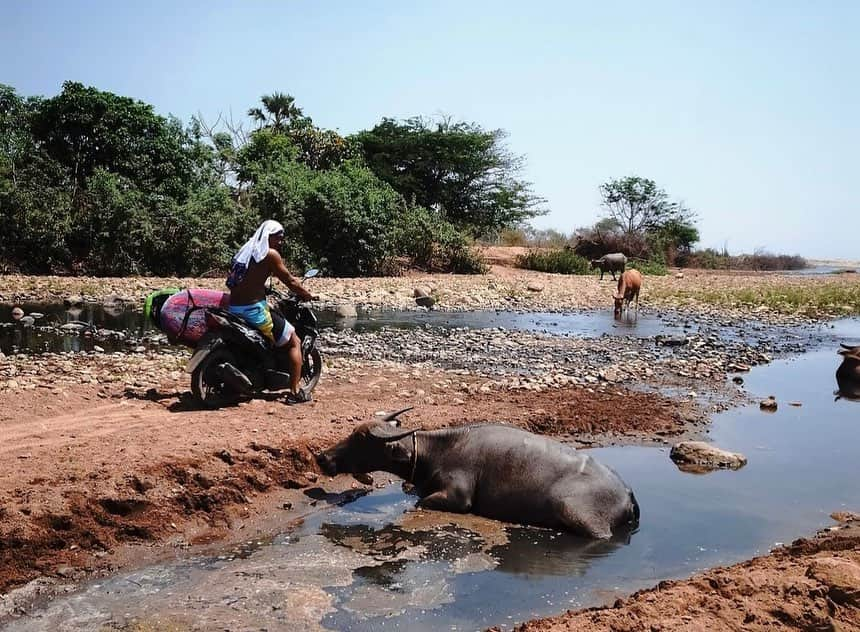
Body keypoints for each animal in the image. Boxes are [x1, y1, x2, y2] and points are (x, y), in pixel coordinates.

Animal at [314, 410, 640, 540]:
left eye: (360, 439)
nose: (322, 457)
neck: (437, 451)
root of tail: (626, 492)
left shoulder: (458, 498)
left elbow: (421, 501)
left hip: (572, 510)